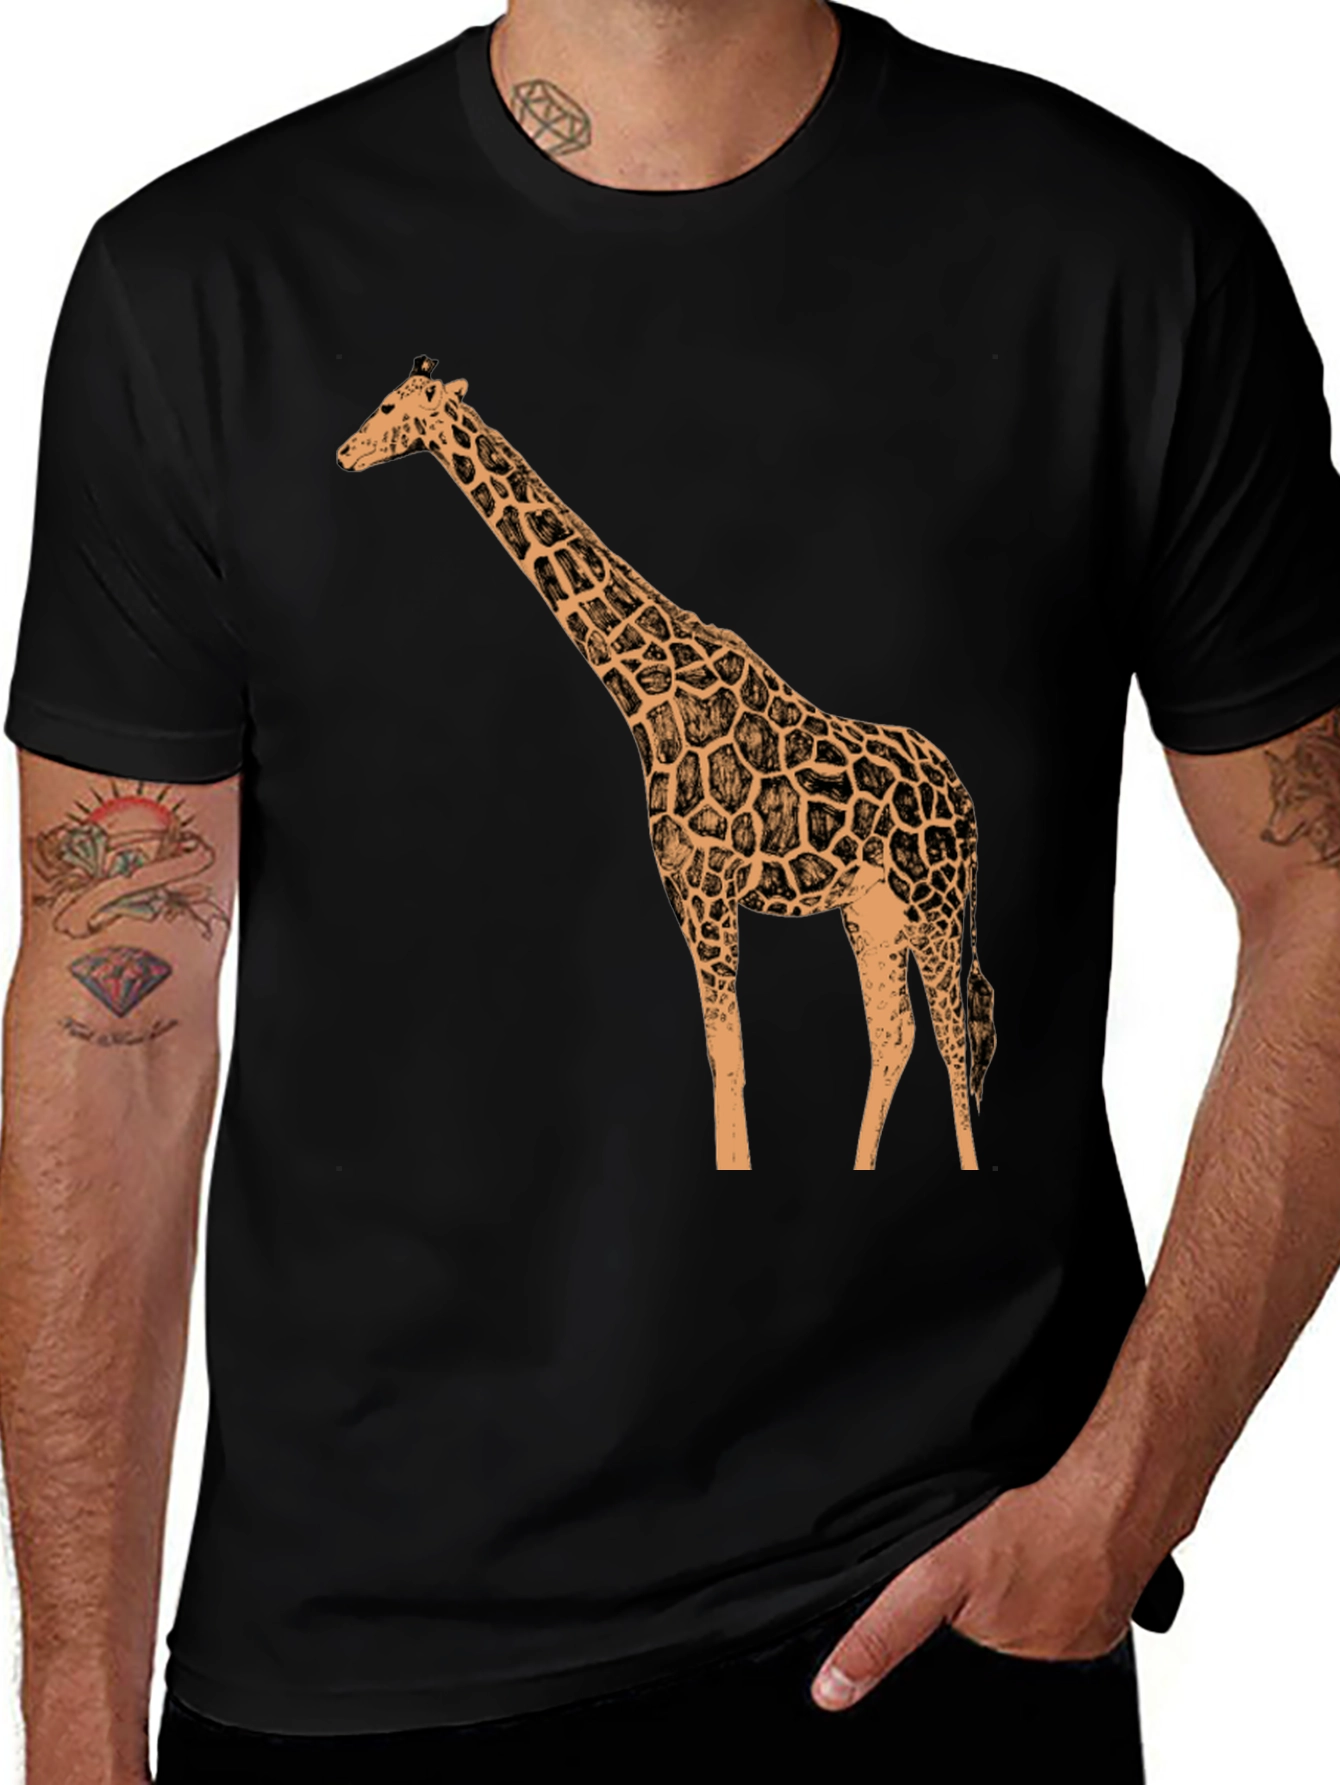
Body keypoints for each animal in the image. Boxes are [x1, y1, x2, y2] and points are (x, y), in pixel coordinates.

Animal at [337, 359, 997, 1171]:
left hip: (936, 903)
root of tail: (965, 797)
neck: (647, 690)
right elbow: (723, 1057)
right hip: (871, 912)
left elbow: (731, 1059)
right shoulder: (688, 893)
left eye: (388, 405)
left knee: (956, 1039)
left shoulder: (710, 891)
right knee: (896, 1035)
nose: (345, 453)